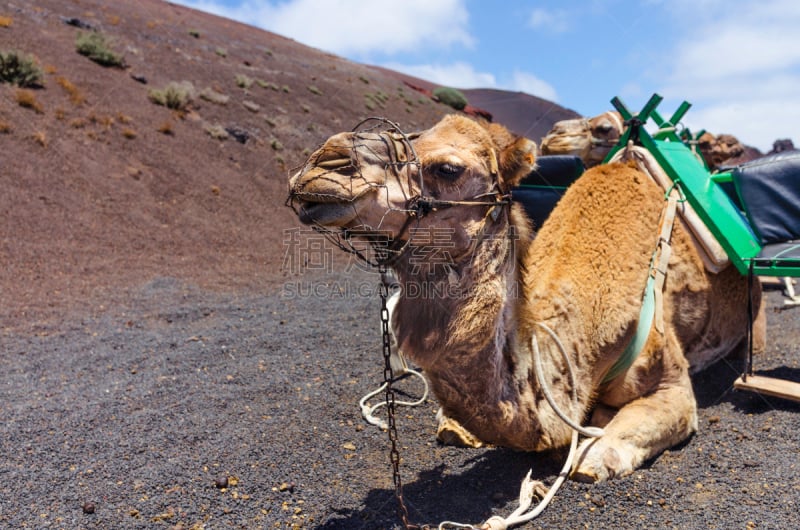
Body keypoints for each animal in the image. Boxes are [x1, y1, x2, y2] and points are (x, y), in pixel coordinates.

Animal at [290, 113, 768, 480]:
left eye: (448, 168)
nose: (324, 163)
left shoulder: (671, 379)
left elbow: (631, 428)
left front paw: (597, 450)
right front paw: (454, 425)